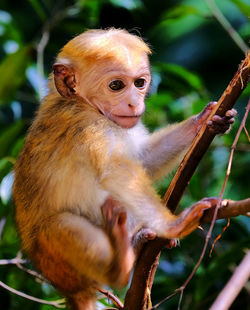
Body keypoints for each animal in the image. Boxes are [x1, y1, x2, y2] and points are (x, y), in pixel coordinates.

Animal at [13, 27, 236, 308]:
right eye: (116, 85)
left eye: (139, 83)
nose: (134, 103)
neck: (84, 104)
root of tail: (70, 290)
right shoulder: (88, 127)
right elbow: (115, 173)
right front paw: (175, 225)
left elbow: (144, 159)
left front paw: (205, 120)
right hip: (58, 263)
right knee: (58, 224)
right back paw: (121, 265)